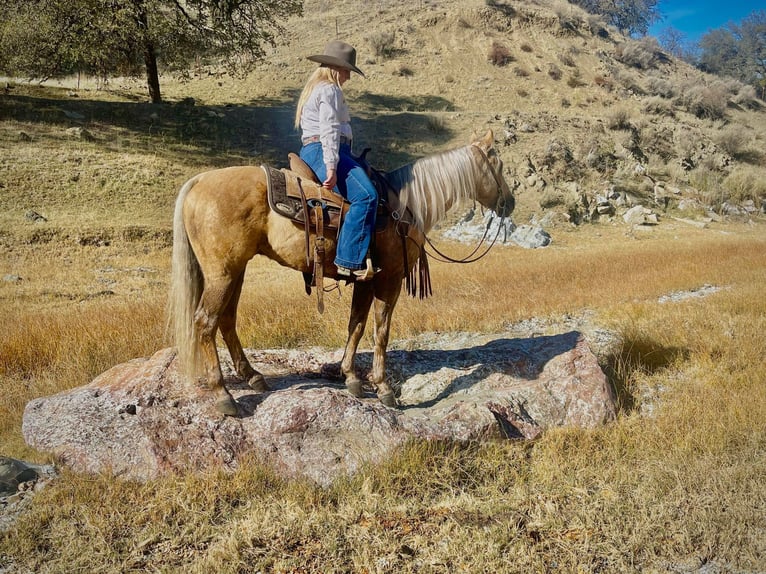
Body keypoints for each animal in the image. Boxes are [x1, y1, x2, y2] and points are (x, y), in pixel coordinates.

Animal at [168, 129, 516, 416]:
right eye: (498, 164)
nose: (510, 203)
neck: (404, 206)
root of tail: (199, 180)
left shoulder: (366, 280)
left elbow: (356, 325)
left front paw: (351, 378)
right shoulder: (390, 278)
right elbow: (381, 330)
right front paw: (383, 387)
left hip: (235, 270)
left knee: (226, 319)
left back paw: (252, 376)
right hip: (223, 273)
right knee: (206, 322)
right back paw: (223, 394)